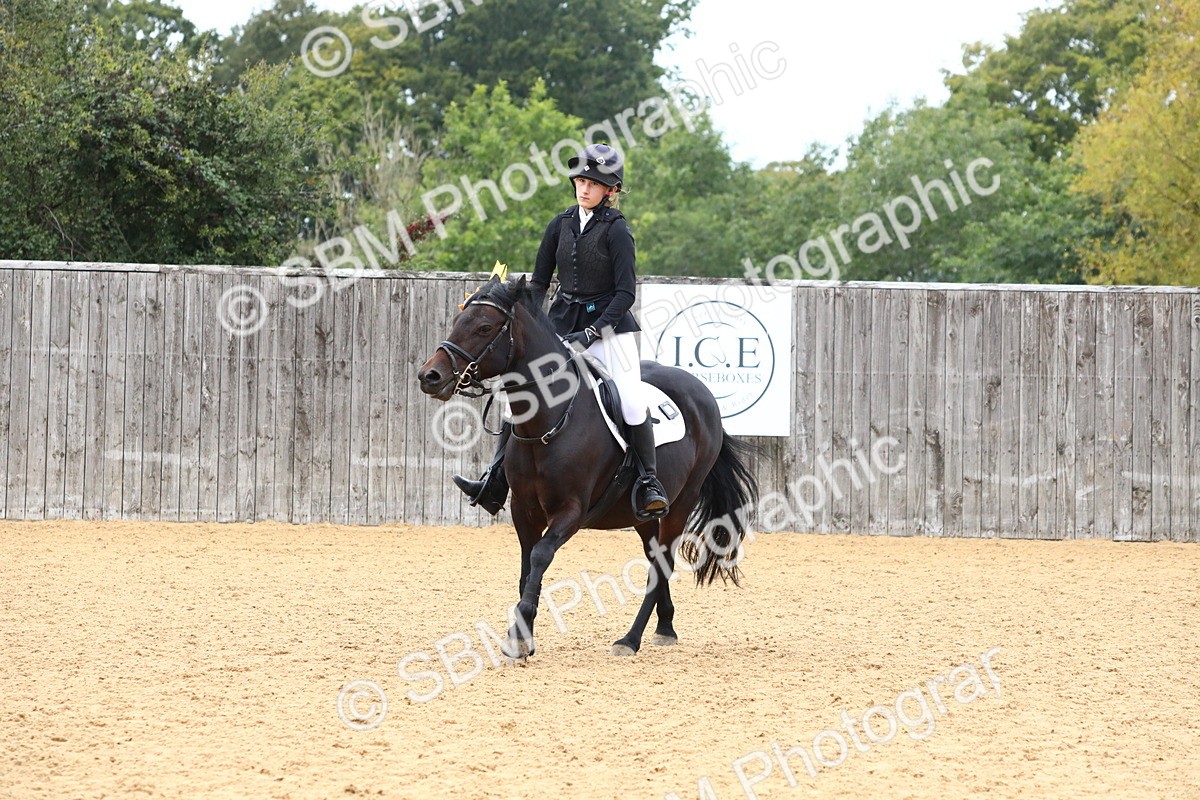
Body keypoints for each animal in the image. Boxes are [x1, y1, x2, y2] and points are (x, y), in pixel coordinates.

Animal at [417, 275, 759, 659]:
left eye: (484, 328)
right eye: (457, 322)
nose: (430, 376)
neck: (549, 421)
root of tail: (703, 393)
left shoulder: (571, 511)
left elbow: (541, 556)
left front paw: (519, 635)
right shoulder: (523, 509)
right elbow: (526, 566)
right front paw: (524, 633)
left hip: (681, 503)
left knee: (663, 562)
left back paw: (630, 639)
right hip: (641, 515)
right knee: (654, 557)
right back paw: (665, 626)